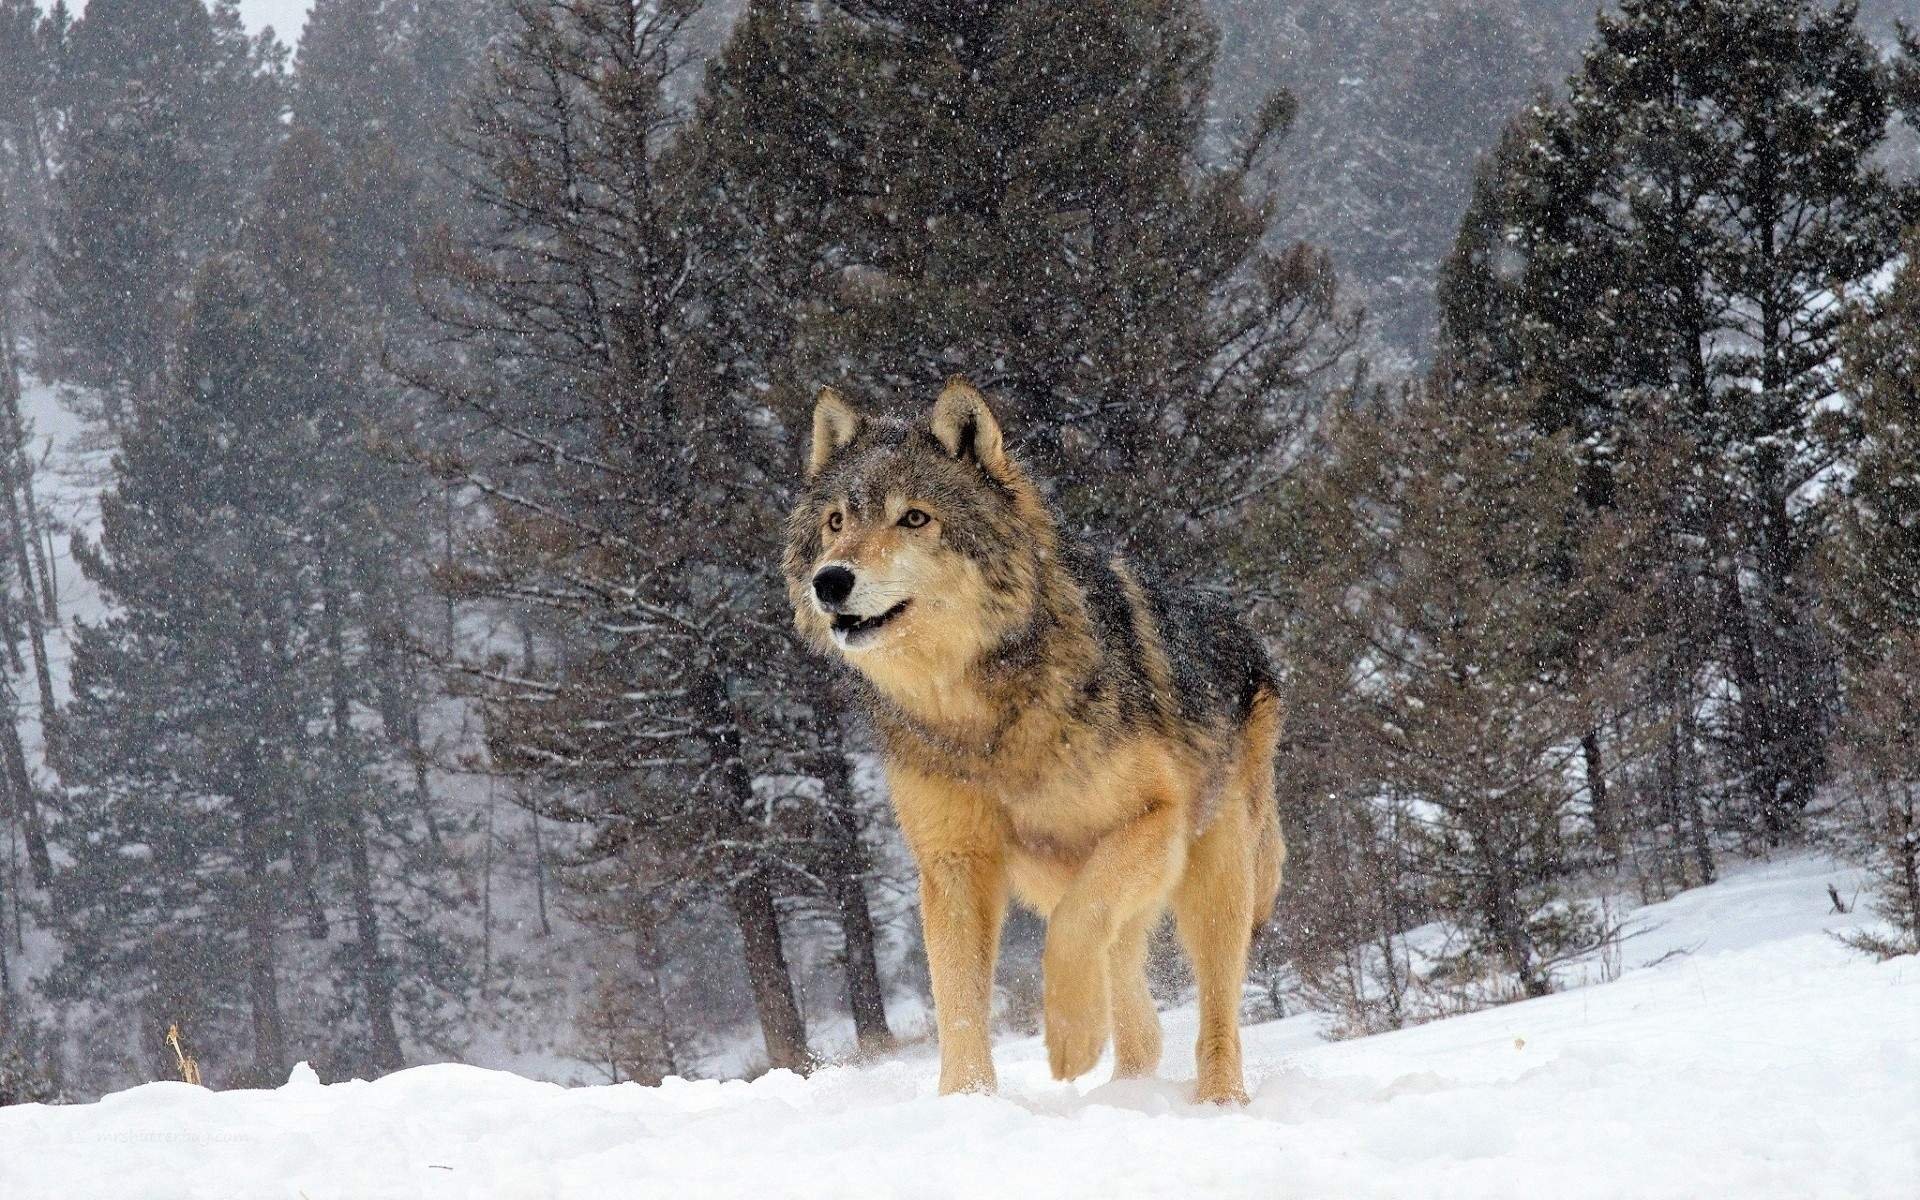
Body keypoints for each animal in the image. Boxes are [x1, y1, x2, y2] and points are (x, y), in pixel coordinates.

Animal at [779, 378, 1290, 1098]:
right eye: (836, 522)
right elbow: (959, 1002)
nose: (829, 580)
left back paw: (1217, 1099)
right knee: (1134, 994)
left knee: (1212, 1006)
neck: (981, 720)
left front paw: (1071, 1039)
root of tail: (1243, 633)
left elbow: (1078, 925)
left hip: (1213, 877)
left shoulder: (1154, 817)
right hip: (1067, 878)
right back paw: (1128, 1085)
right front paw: (968, 1102)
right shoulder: (954, 863)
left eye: (915, 518)